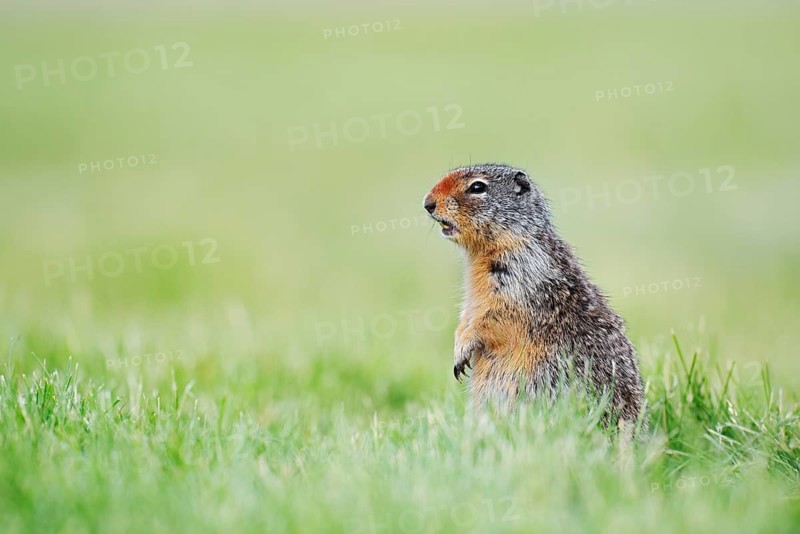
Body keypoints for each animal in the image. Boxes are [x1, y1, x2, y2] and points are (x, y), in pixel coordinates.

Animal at [423, 163, 646, 426]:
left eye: (477, 187)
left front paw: (463, 348)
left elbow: (493, 315)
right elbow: (468, 313)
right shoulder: (474, 295)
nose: (427, 203)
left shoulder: (519, 275)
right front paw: (459, 347)